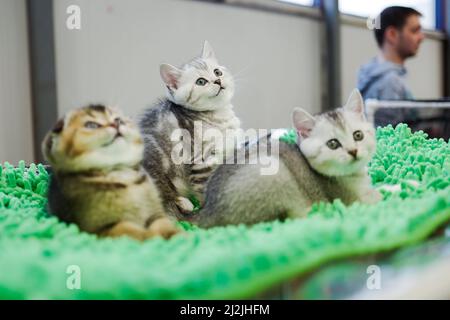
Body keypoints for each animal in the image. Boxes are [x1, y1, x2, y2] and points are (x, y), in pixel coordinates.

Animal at [42, 104, 181, 240]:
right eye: (91, 125)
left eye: (118, 120)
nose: (116, 124)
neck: (121, 173)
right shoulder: (102, 227)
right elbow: (131, 231)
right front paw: (152, 237)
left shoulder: (156, 214)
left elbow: (164, 225)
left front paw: (178, 236)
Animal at [140, 40, 243, 218]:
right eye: (201, 82)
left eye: (217, 72)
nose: (217, 81)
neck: (218, 116)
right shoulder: (201, 161)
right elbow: (204, 188)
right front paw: (208, 208)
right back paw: (184, 204)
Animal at [192, 90, 382, 229]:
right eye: (333, 144)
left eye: (358, 135)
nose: (353, 151)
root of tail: (208, 210)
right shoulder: (353, 200)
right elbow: (377, 196)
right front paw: (386, 191)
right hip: (276, 175)